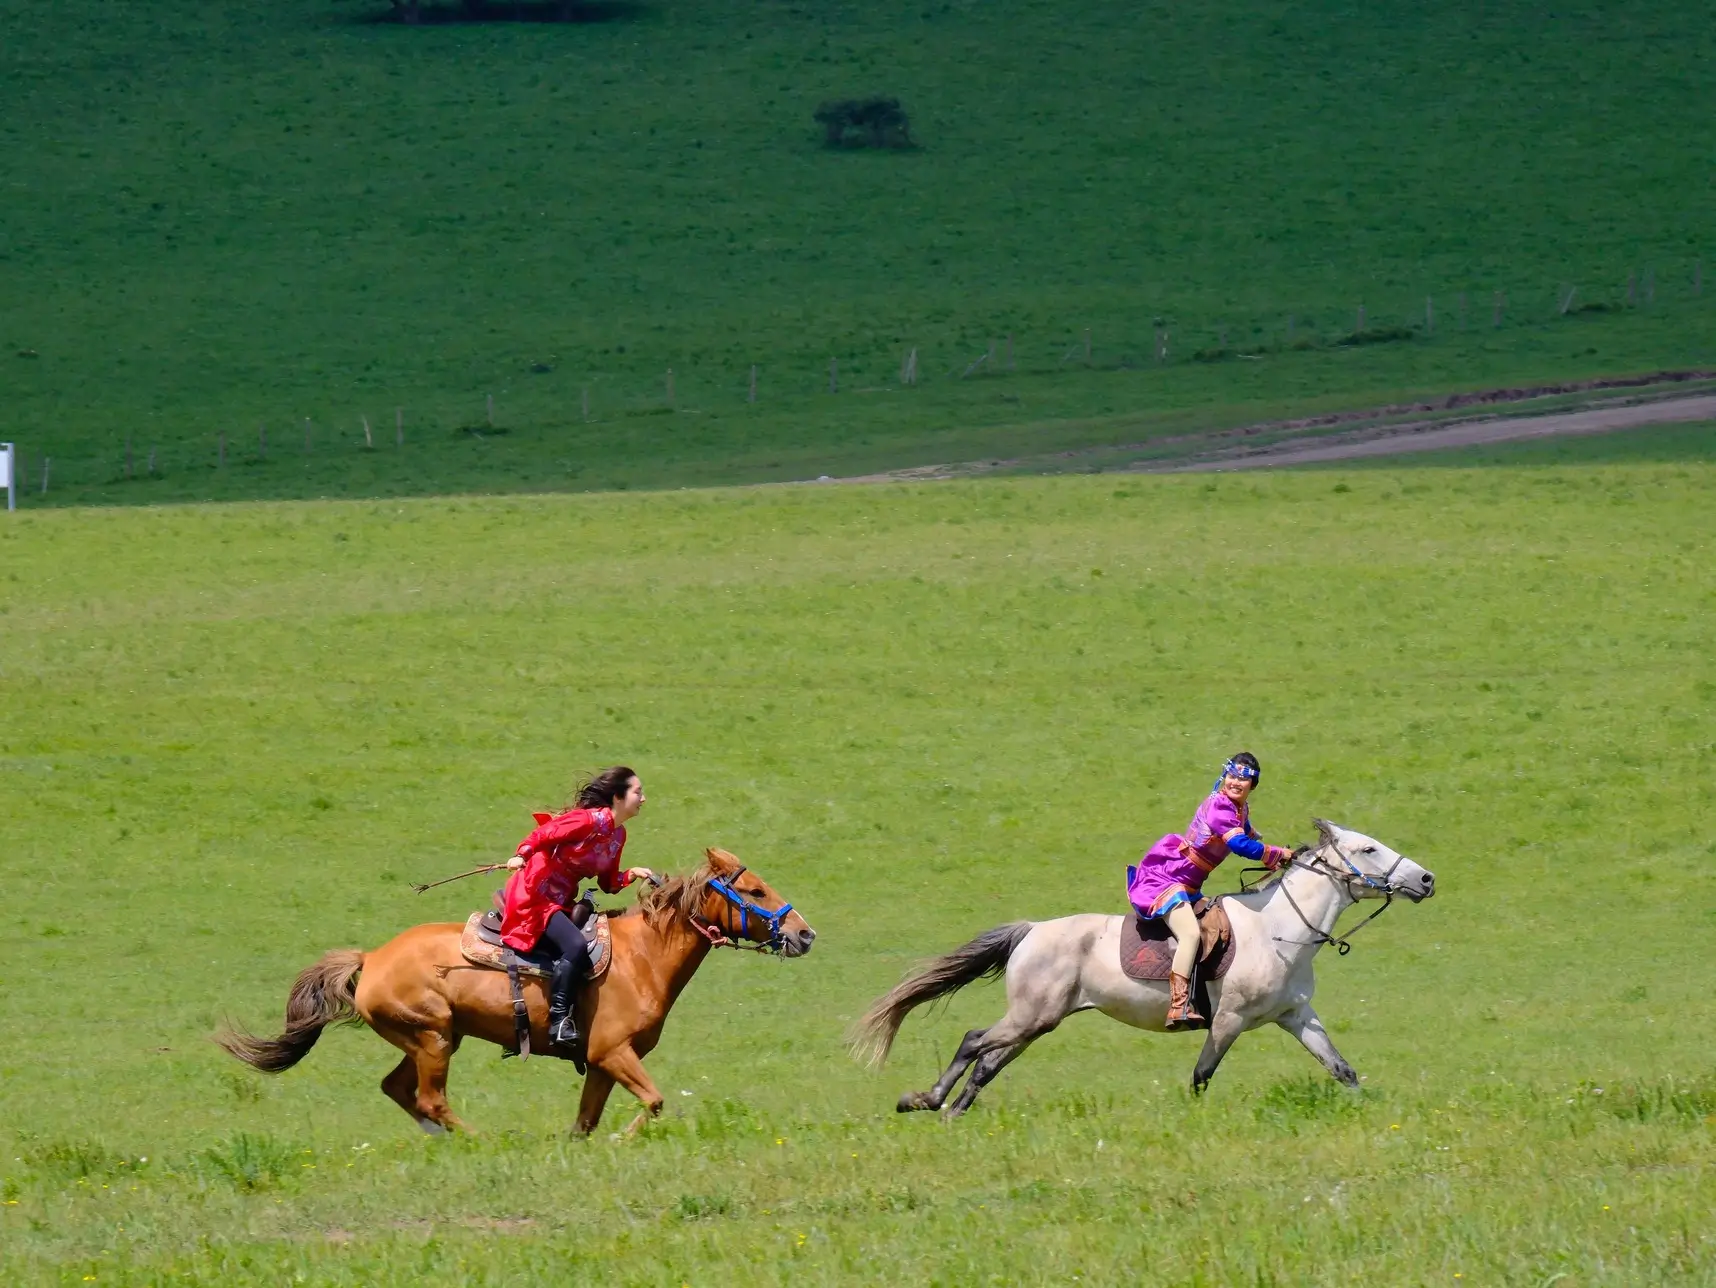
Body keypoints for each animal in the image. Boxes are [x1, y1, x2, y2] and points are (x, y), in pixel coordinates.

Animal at [219, 848, 814, 1136]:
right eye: (755, 889)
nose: (805, 933)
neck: (642, 958)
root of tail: (371, 960)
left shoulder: (602, 1065)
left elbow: (585, 1123)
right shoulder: (613, 1053)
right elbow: (655, 1101)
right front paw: (623, 1140)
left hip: (433, 1039)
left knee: (399, 1090)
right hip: (433, 1039)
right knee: (431, 1098)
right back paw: (479, 1140)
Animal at [849, 820, 1433, 1118]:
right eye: (1369, 848)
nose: (1426, 879)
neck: (1279, 930)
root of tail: (1031, 930)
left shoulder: (1296, 1017)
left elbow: (1342, 1069)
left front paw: (1370, 1110)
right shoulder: (1229, 1022)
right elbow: (1201, 1075)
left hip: (1039, 1020)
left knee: (990, 1060)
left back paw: (952, 1111)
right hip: (1032, 1015)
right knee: (975, 1041)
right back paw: (923, 1100)